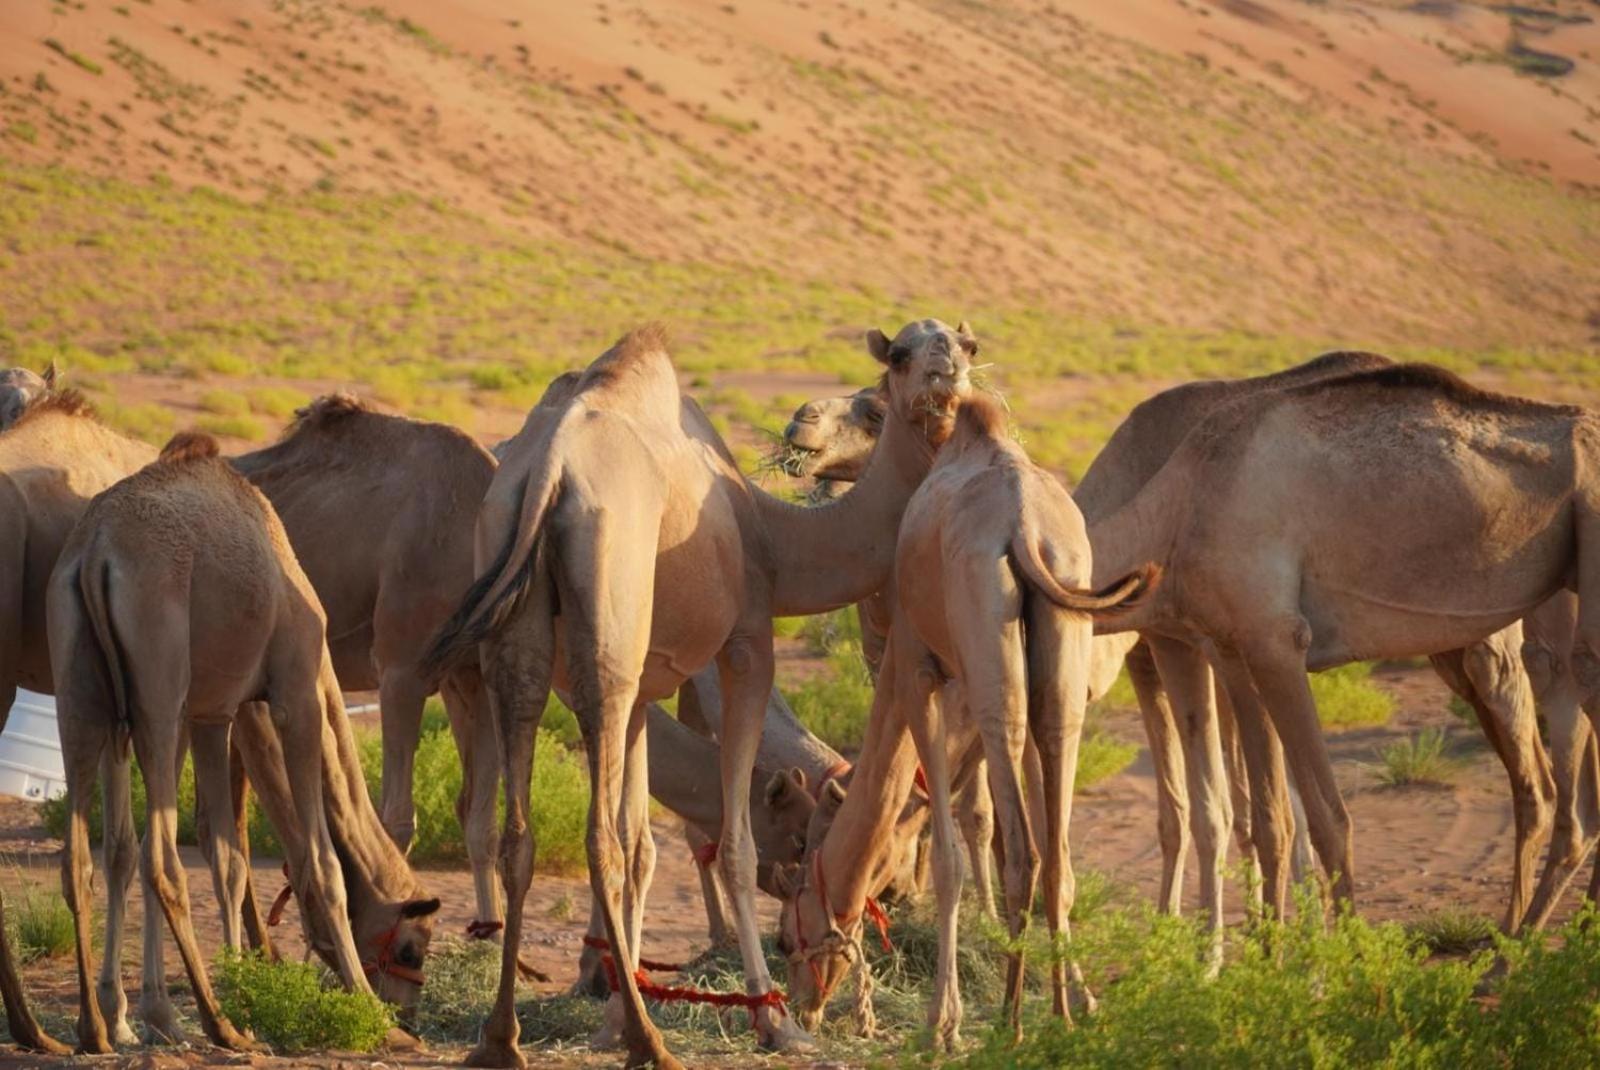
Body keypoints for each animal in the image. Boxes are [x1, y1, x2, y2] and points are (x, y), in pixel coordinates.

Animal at [48, 428, 438, 1049]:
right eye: (409, 948)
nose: (409, 1018)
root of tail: (95, 554)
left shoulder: (213, 713)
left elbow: (227, 858)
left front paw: (240, 992)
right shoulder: (294, 690)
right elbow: (321, 861)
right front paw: (361, 1006)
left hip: (82, 693)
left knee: (84, 857)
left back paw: (98, 1028)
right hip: (158, 685)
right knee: (161, 859)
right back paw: (217, 1024)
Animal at [425, 319, 966, 1068]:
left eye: (964, 347)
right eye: (899, 363)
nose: (945, 373)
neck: (770, 536)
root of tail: (545, 473)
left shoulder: (647, 684)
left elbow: (643, 845)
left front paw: (616, 1016)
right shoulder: (747, 644)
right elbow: (731, 843)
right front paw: (773, 1020)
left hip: (525, 635)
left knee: (524, 829)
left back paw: (503, 1039)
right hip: (608, 616)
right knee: (596, 838)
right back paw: (653, 1045)